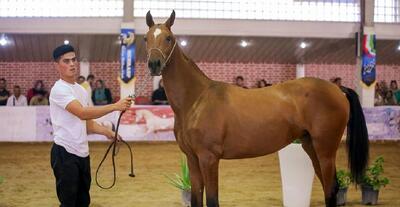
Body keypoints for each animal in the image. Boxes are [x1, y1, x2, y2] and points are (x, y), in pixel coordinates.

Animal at [144, 10, 368, 206]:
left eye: (168, 38)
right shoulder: (192, 158)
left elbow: (213, 200)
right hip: (311, 146)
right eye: (146, 38)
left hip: (325, 150)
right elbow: (196, 199)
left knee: (331, 190)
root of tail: (337, 89)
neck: (196, 100)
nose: (154, 64)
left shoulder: (209, 158)